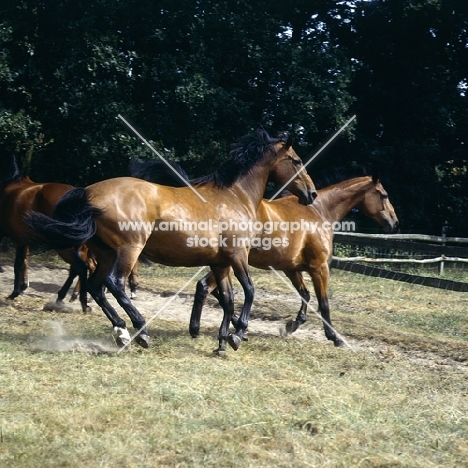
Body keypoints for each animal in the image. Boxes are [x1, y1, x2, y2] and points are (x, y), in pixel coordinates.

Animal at [25, 130, 318, 352]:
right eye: (296, 160)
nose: (312, 194)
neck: (235, 197)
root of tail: (89, 192)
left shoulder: (220, 263)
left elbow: (228, 298)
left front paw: (222, 342)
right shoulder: (237, 257)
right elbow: (249, 291)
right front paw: (236, 334)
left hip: (107, 252)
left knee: (97, 287)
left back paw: (121, 332)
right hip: (129, 249)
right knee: (114, 284)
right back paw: (141, 331)